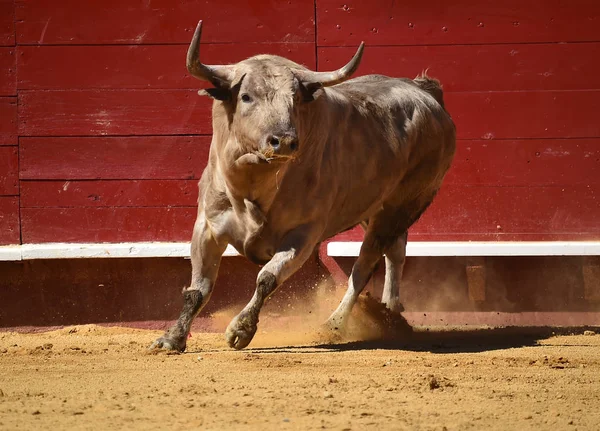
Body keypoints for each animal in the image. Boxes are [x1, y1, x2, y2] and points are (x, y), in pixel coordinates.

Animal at [150, 21, 454, 352]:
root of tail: (424, 91)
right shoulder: (207, 227)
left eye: (295, 99)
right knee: (395, 251)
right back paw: (391, 311)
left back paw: (335, 324)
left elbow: (266, 278)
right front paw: (171, 338)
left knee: (364, 266)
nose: (283, 140)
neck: (252, 185)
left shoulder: (304, 235)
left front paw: (240, 330)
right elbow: (198, 289)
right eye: (246, 97)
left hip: (401, 208)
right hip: (373, 209)